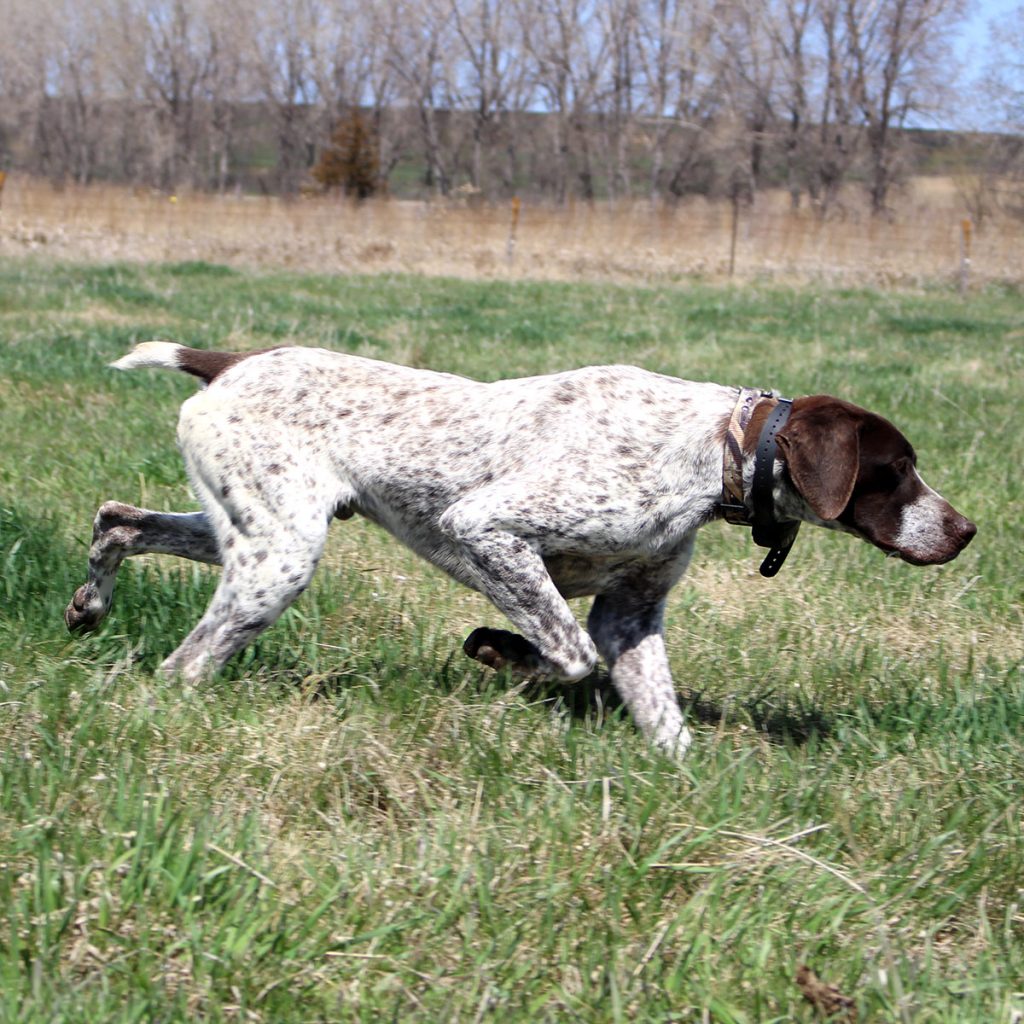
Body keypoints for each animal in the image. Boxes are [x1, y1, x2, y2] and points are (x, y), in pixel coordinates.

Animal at [64, 346, 974, 761]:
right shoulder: (487, 528)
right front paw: (498, 649)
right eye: (896, 471)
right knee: (185, 662)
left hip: (248, 532)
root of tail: (226, 361)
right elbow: (567, 652)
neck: (713, 449)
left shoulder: (631, 617)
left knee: (119, 519)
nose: (966, 531)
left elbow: (663, 720)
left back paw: (90, 603)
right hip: (279, 557)